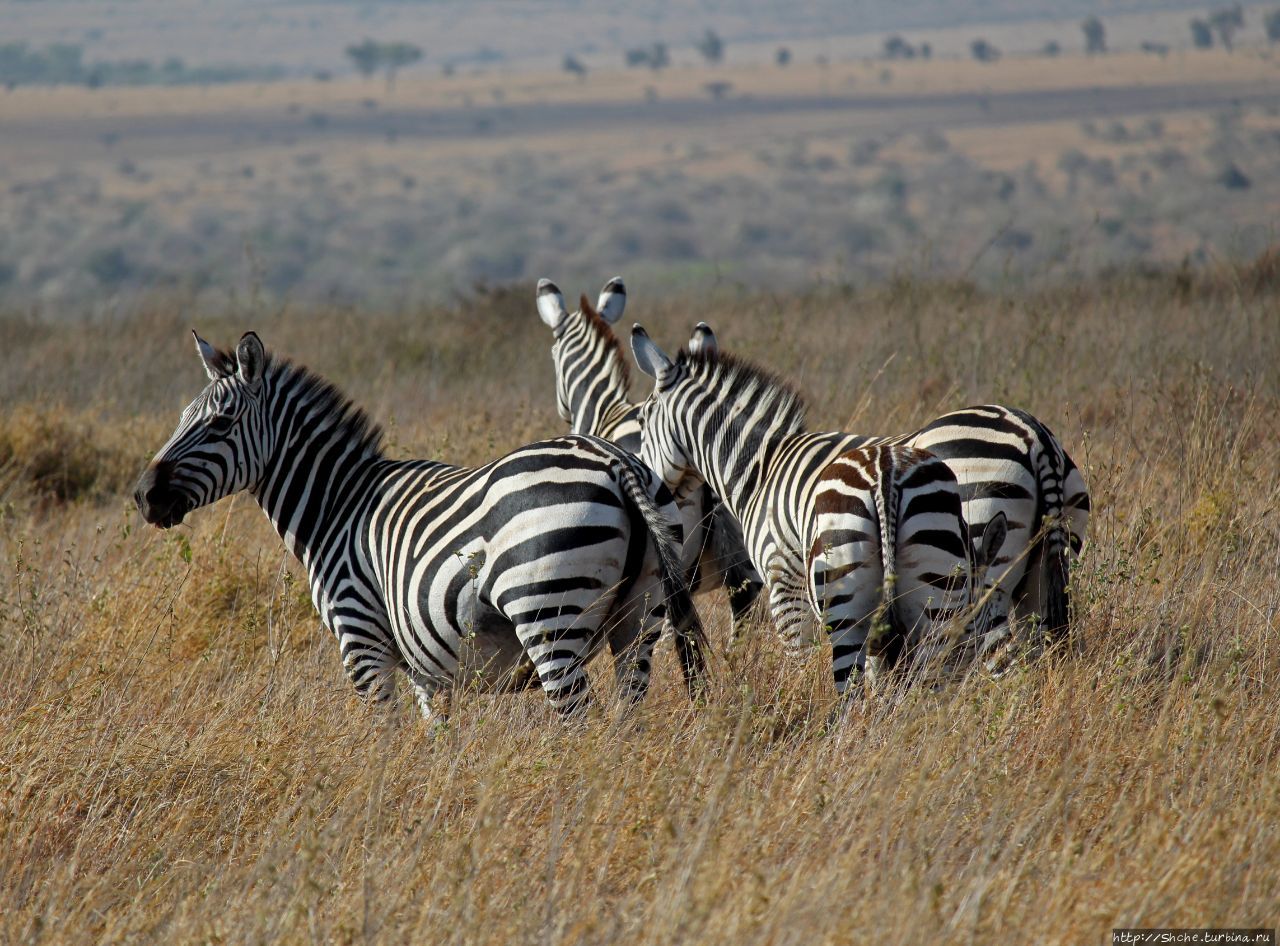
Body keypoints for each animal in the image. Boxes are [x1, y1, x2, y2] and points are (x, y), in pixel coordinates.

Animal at [137, 330, 711, 721]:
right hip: (641, 613)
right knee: (625, 719)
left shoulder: (362, 640)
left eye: (220, 423)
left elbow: (383, 738)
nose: (144, 496)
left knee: (577, 722)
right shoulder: (426, 666)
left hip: (548, 613)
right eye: (182, 417)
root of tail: (613, 461)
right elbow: (436, 737)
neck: (336, 506)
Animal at [624, 327, 1003, 696]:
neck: (762, 468)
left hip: (848, 603)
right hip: (937, 596)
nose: (653, 488)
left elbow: (799, 662)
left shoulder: (783, 582)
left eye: (641, 419)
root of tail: (887, 473)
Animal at [686, 318, 1095, 660]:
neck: (764, 465)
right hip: (1045, 565)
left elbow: (799, 655)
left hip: (979, 555)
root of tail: (1034, 436)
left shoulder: (785, 575)